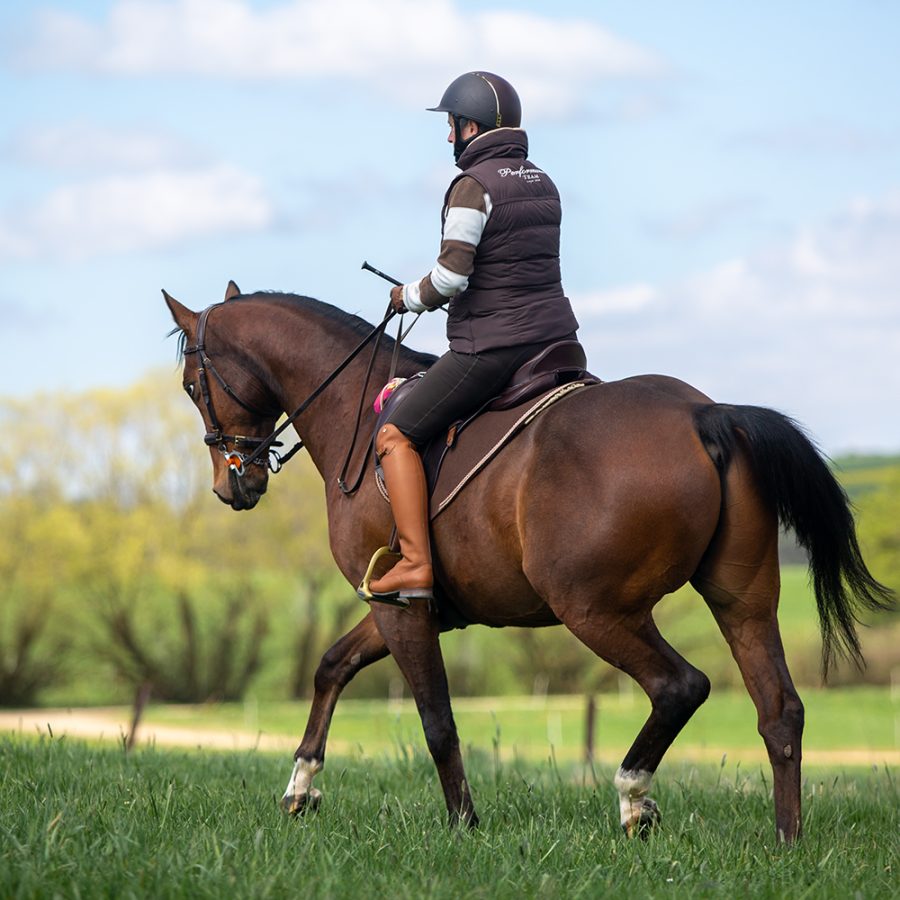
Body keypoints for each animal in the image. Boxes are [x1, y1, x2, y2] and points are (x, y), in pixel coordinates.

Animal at [163, 284, 892, 844]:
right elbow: (331, 667)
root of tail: (703, 413)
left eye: (192, 384)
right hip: (742, 603)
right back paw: (786, 840)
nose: (232, 487)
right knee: (780, 710)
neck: (357, 417)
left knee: (680, 686)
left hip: (595, 609)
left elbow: (436, 720)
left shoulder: (402, 609)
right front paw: (302, 785)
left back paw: (634, 797)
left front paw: (462, 825)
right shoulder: (398, 605)